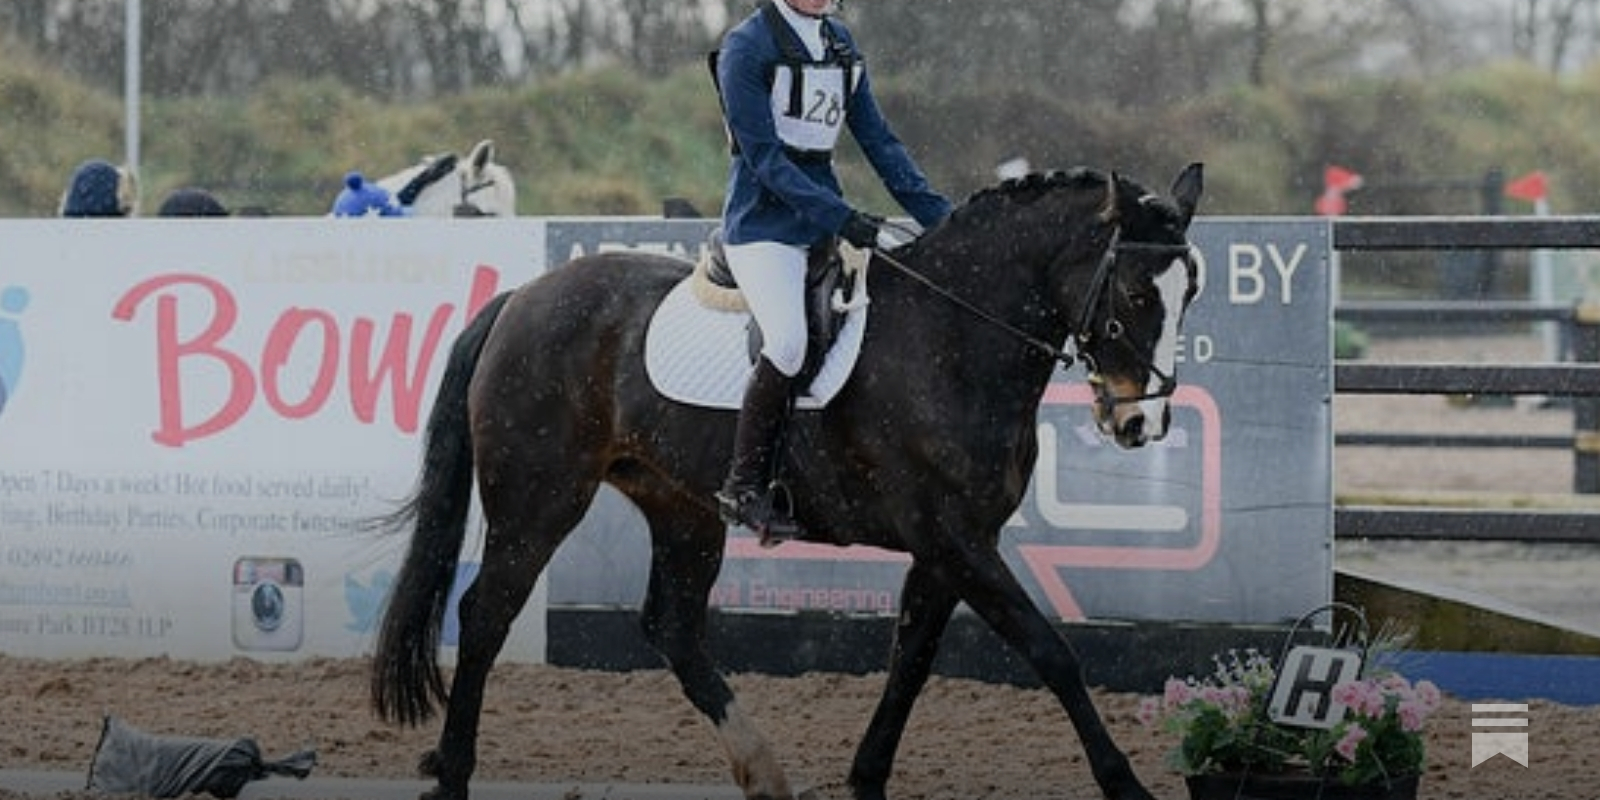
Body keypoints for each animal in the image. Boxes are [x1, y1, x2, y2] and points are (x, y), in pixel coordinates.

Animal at [371, 164, 1203, 800]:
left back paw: (763, 770)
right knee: (485, 614)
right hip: (540, 498)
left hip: (682, 508)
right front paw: (1124, 783)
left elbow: (912, 660)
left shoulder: (949, 548)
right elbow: (1050, 652)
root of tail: (523, 297)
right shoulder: (955, 539)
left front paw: (866, 778)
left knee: (672, 629)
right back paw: (453, 774)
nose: (1141, 422)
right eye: (1136, 294)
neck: (952, 338)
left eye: (1189, 291)